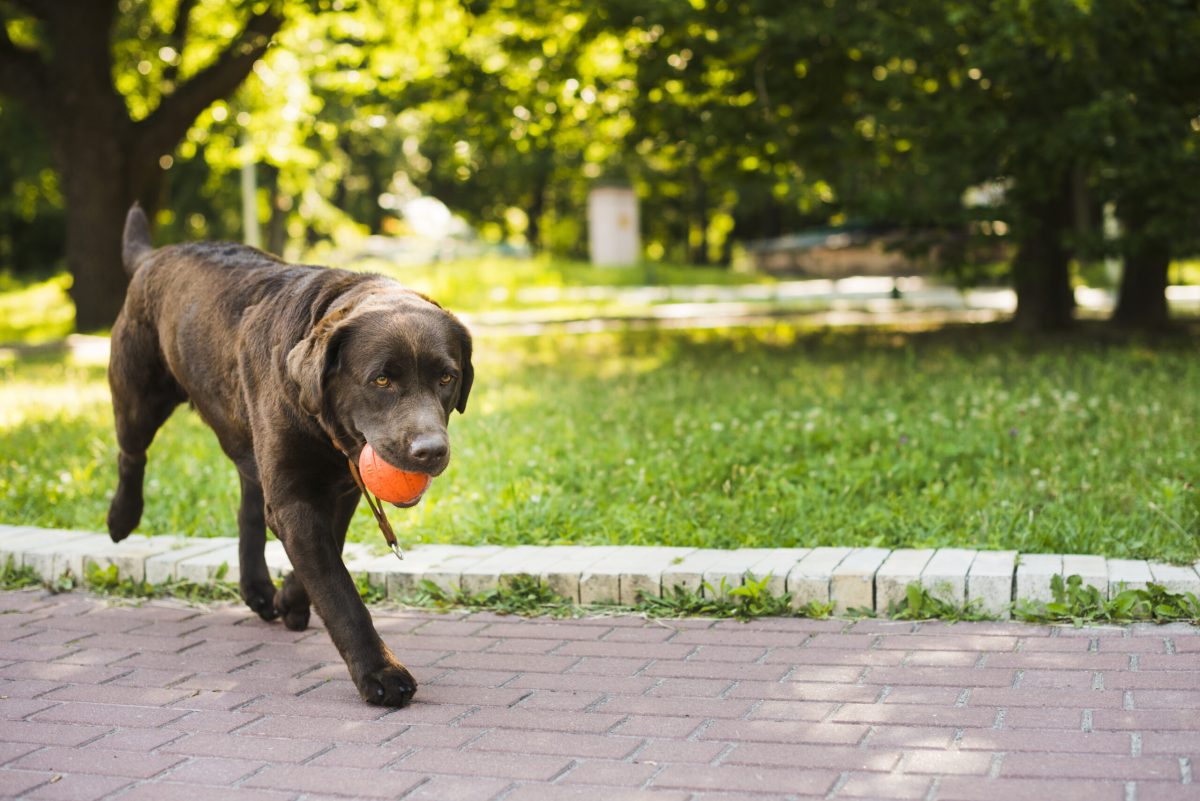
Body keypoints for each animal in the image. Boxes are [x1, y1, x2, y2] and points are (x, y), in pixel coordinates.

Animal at [106, 206, 472, 705]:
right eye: (381, 380)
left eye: (446, 377)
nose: (430, 450)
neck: (325, 426)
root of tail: (154, 255)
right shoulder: (296, 496)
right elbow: (339, 591)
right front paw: (381, 672)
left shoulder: (339, 490)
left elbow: (323, 557)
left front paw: (290, 600)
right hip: (138, 394)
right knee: (131, 455)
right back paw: (121, 518)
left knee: (248, 502)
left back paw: (259, 588)